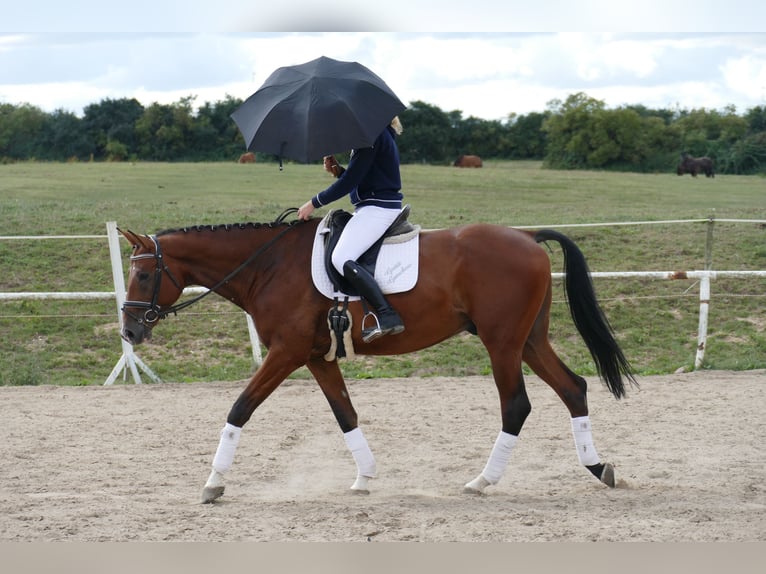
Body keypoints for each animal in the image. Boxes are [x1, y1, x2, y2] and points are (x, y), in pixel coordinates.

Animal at [119, 210, 636, 503]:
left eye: (143, 276)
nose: (129, 330)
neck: (268, 267)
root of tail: (527, 236)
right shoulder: (317, 357)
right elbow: (345, 414)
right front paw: (364, 478)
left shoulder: (286, 353)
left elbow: (239, 408)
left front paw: (213, 482)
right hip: (528, 341)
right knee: (573, 387)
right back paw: (599, 467)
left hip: (502, 344)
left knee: (516, 406)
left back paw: (481, 481)